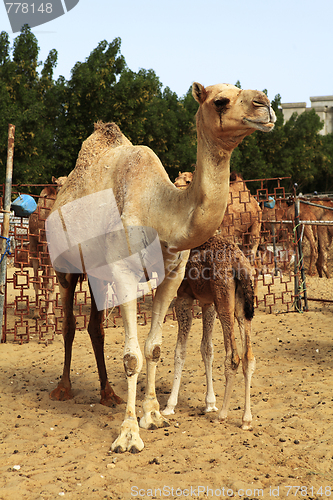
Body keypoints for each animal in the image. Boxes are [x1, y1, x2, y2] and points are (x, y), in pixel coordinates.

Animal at [163, 237, 254, 430]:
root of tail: (239, 263)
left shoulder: (183, 298)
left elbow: (180, 351)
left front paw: (170, 406)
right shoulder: (207, 302)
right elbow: (207, 348)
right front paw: (210, 403)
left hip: (224, 300)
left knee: (233, 357)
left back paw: (222, 415)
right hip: (242, 306)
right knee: (248, 357)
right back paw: (246, 420)